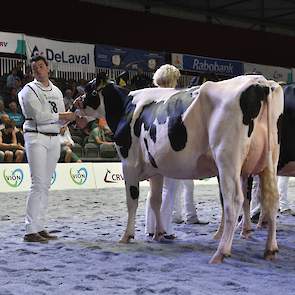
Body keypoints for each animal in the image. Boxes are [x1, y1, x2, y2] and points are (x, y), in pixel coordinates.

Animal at [74, 74, 284, 264]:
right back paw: (270, 249)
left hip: (227, 159)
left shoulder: (129, 163)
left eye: (88, 89)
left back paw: (221, 252)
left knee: (234, 201)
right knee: (272, 198)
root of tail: (259, 82)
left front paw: (127, 236)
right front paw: (158, 233)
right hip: (270, 160)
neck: (126, 107)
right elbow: (155, 201)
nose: (75, 103)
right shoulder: (156, 170)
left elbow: (132, 202)